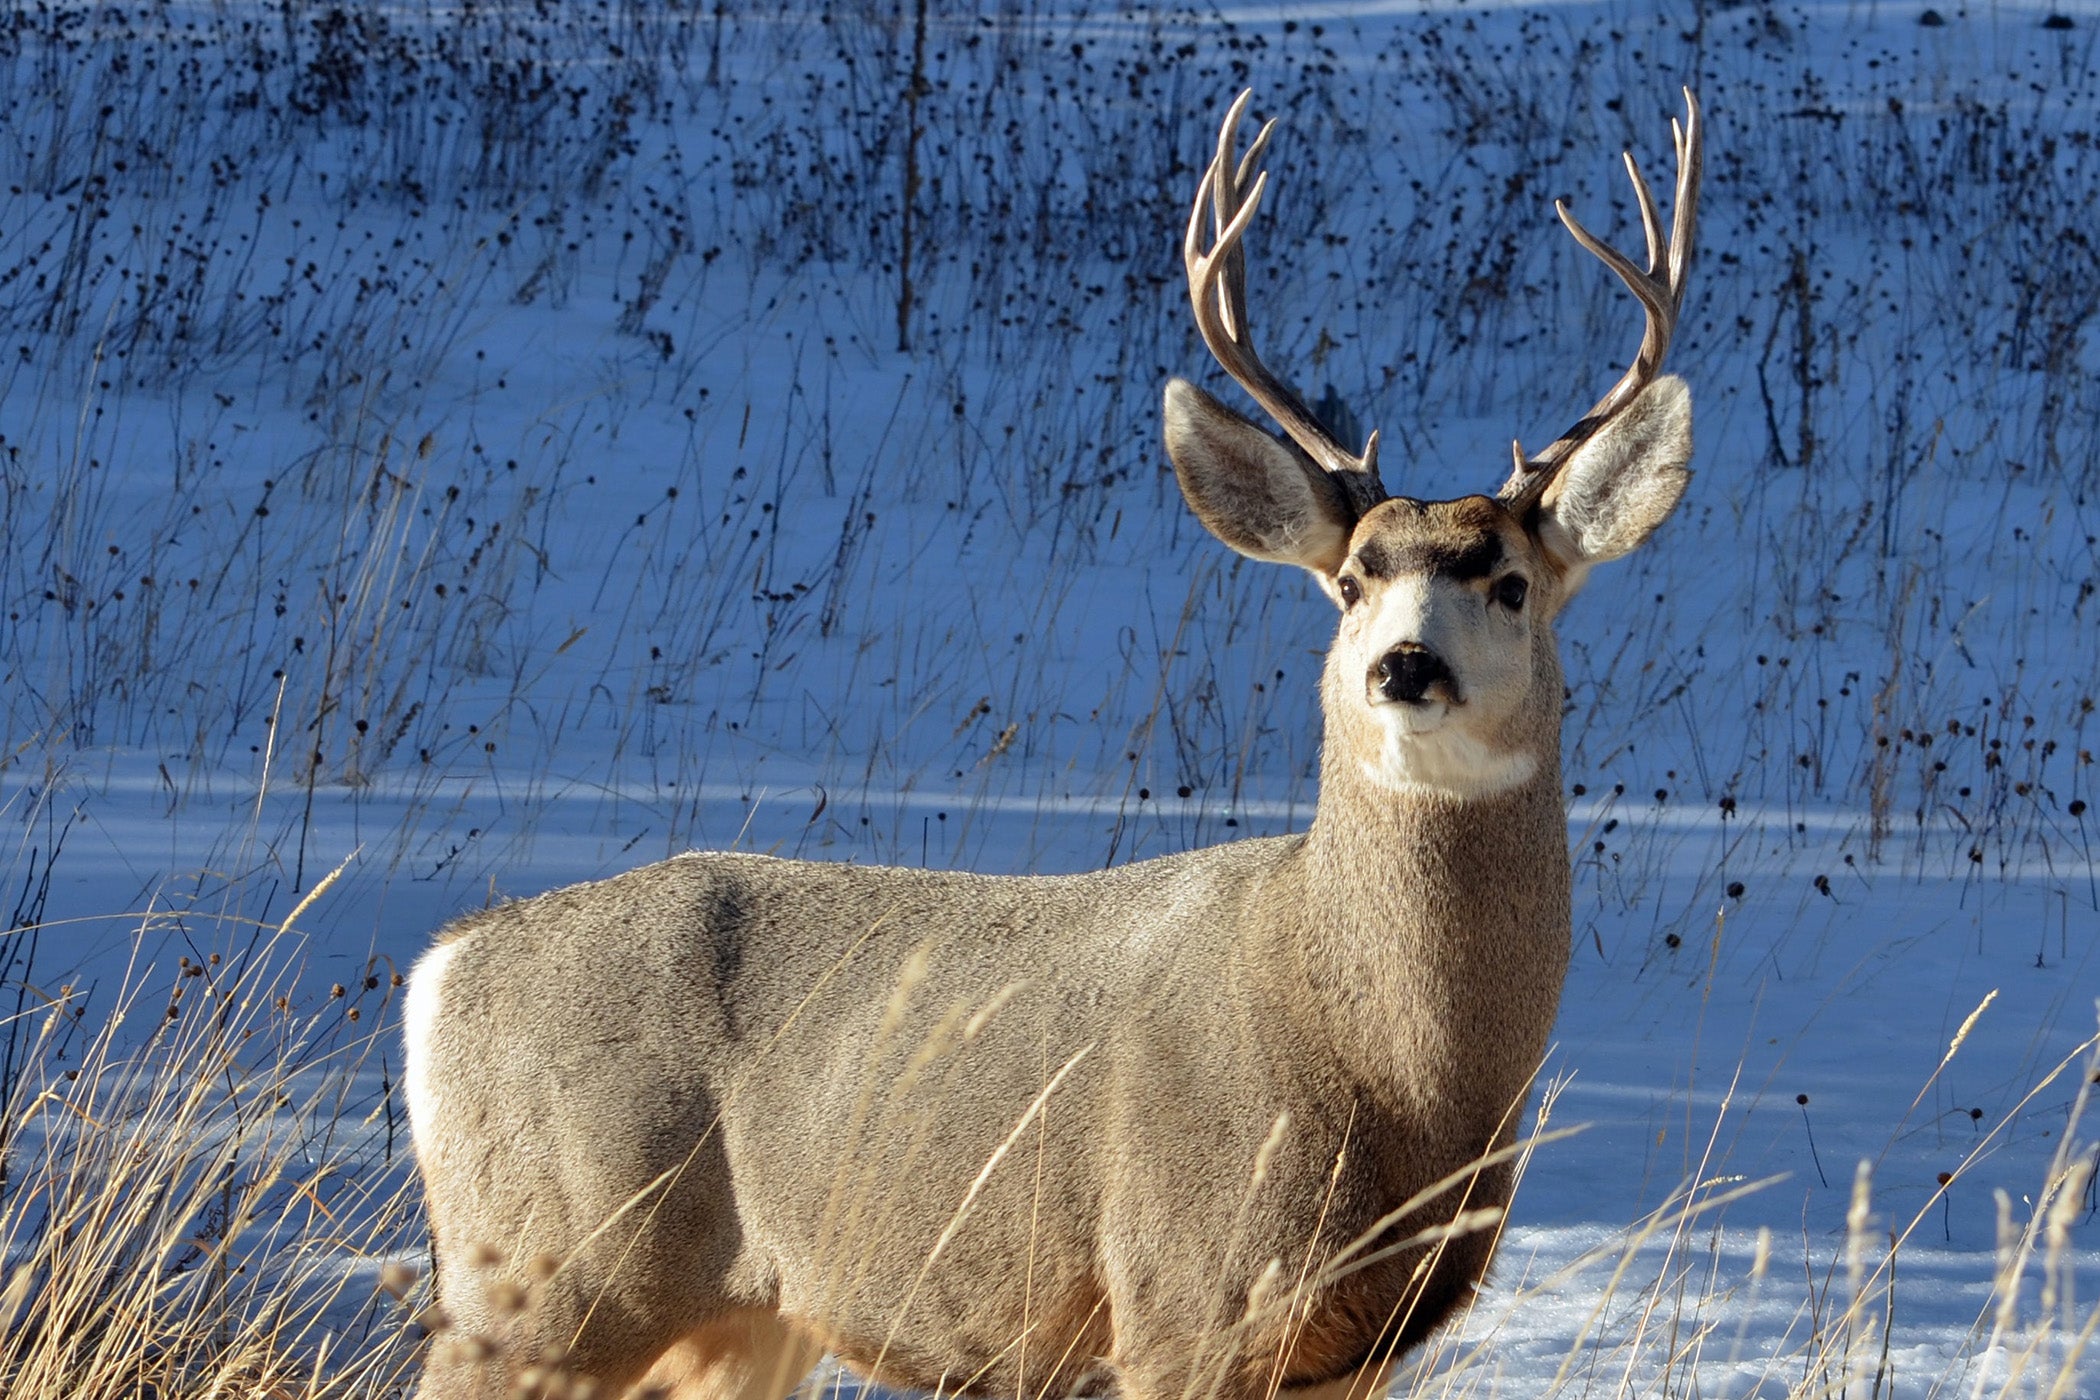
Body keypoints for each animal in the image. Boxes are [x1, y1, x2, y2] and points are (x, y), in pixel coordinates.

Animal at [405, 92, 1705, 1400]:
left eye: (1509, 583)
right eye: (1350, 582)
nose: (1404, 665)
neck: (1393, 1075)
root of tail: (443, 965)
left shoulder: (1355, 1353)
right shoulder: (1180, 1295)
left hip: (741, 1316)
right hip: (551, 1272)